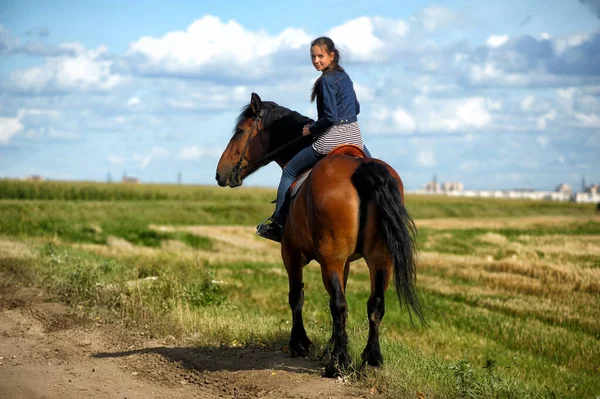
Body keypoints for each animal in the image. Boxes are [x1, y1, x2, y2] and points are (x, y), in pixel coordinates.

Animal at [216, 94, 426, 378]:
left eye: (239, 131)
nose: (220, 173)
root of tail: (362, 170)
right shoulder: (344, 262)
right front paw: (330, 345)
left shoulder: (292, 254)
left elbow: (297, 297)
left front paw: (300, 343)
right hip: (379, 258)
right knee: (374, 305)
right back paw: (370, 358)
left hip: (332, 259)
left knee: (339, 305)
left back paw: (338, 364)